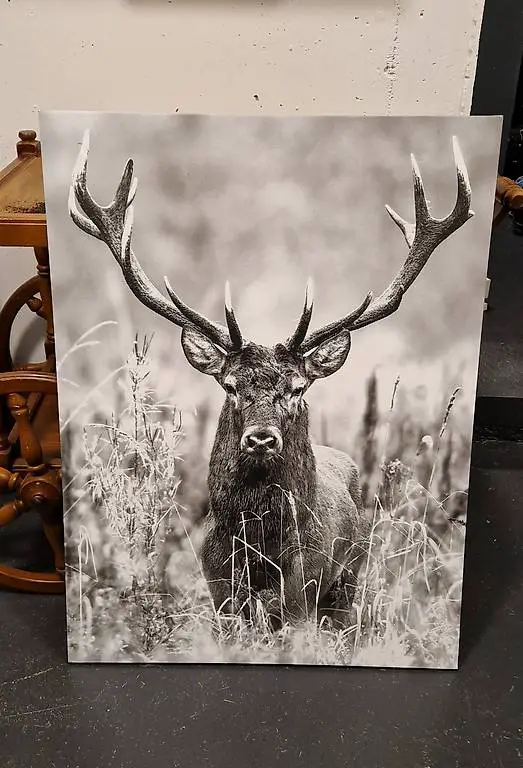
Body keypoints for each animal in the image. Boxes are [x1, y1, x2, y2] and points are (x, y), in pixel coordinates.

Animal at [68, 130, 473, 630]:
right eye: (230, 386)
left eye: (297, 388)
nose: (261, 439)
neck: (260, 544)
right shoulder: (217, 583)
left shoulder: (305, 584)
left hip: (350, 576)